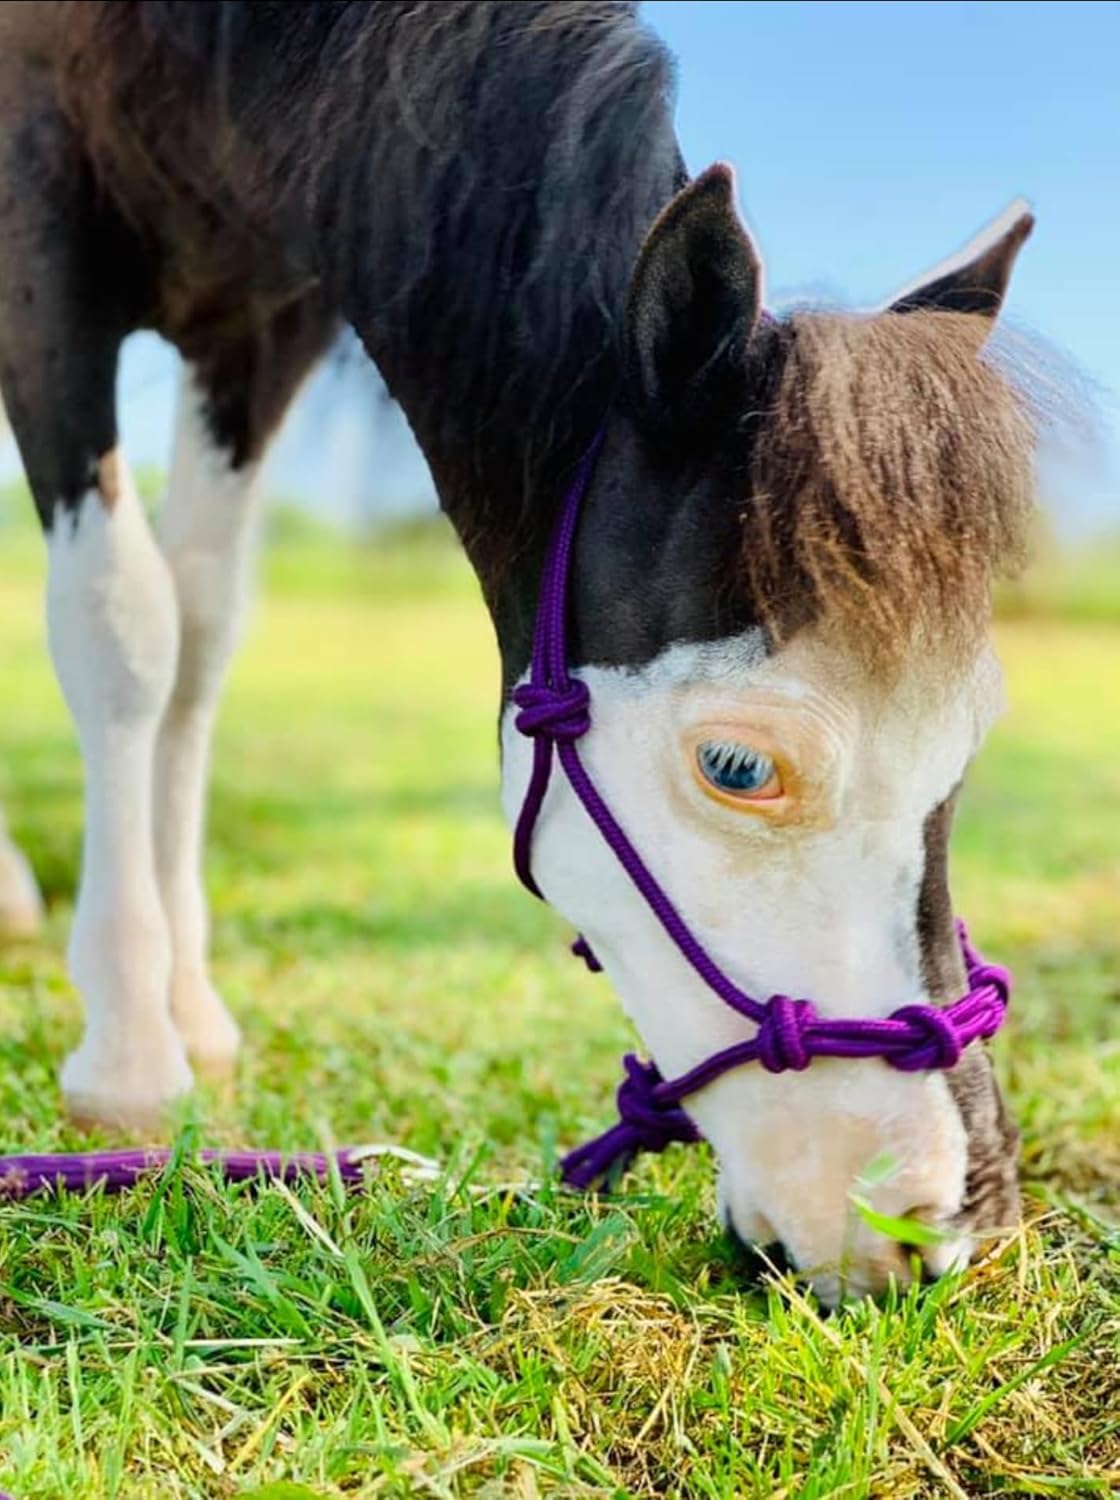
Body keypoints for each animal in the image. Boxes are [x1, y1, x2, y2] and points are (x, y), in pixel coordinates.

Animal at [0, 0, 1042, 1303]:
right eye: (737, 768)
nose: (939, 1225)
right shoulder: (42, 233)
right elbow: (123, 627)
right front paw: (131, 1051)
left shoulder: (258, 321)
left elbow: (201, 629)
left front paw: (185, 1000)